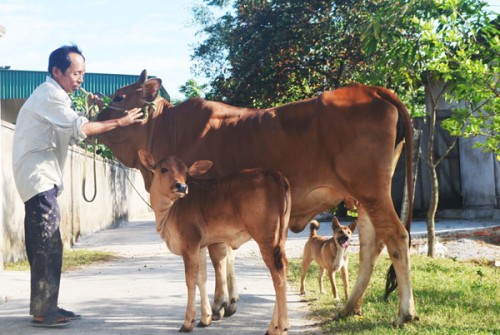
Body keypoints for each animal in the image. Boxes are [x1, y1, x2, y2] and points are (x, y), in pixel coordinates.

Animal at [139, 151, 292, 334]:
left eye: (186, 173)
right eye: (164, 169)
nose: (181, 186)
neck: (168, 211)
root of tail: (274, 173)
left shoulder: (189, 243)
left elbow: (190, 279)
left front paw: (188, 322)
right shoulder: (200, 245)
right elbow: (201, 278)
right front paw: (205, 319)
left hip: (266, 238)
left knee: (278, 274)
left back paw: (281, 326)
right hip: (281, 236)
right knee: (283, 268)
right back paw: (273, 326)